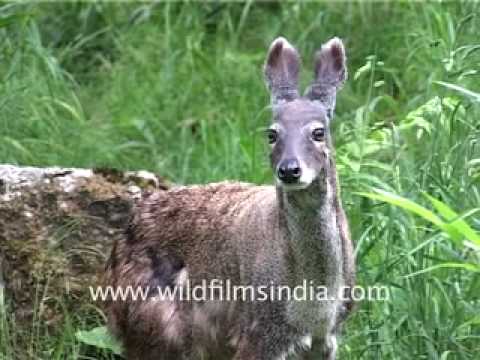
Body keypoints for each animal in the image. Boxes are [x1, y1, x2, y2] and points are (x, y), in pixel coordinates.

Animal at [105, 37, 356, 360]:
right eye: (272, 134)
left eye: (318, 132)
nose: (289, 170)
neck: (314, 307)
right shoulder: (257, 333)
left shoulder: (327, 338)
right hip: (152, 325)